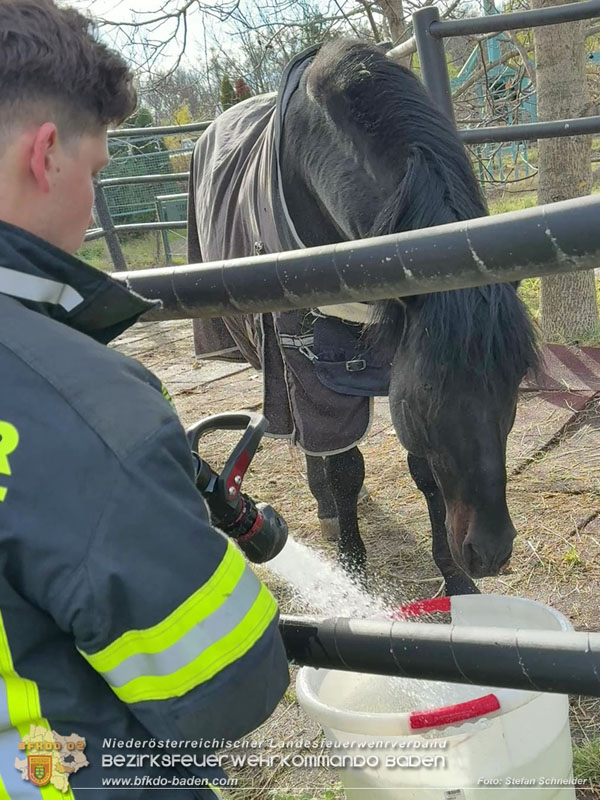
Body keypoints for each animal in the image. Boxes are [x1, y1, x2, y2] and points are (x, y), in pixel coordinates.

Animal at [187, 38, 539, 596]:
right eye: (431, 389)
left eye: (517, 378)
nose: (490, 552)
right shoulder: (309, 360)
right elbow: (345, 468)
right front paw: (354, 570)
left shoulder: (396, 356)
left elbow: (426, 473)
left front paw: (455, 580)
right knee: (310, 442)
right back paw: (327, 509)